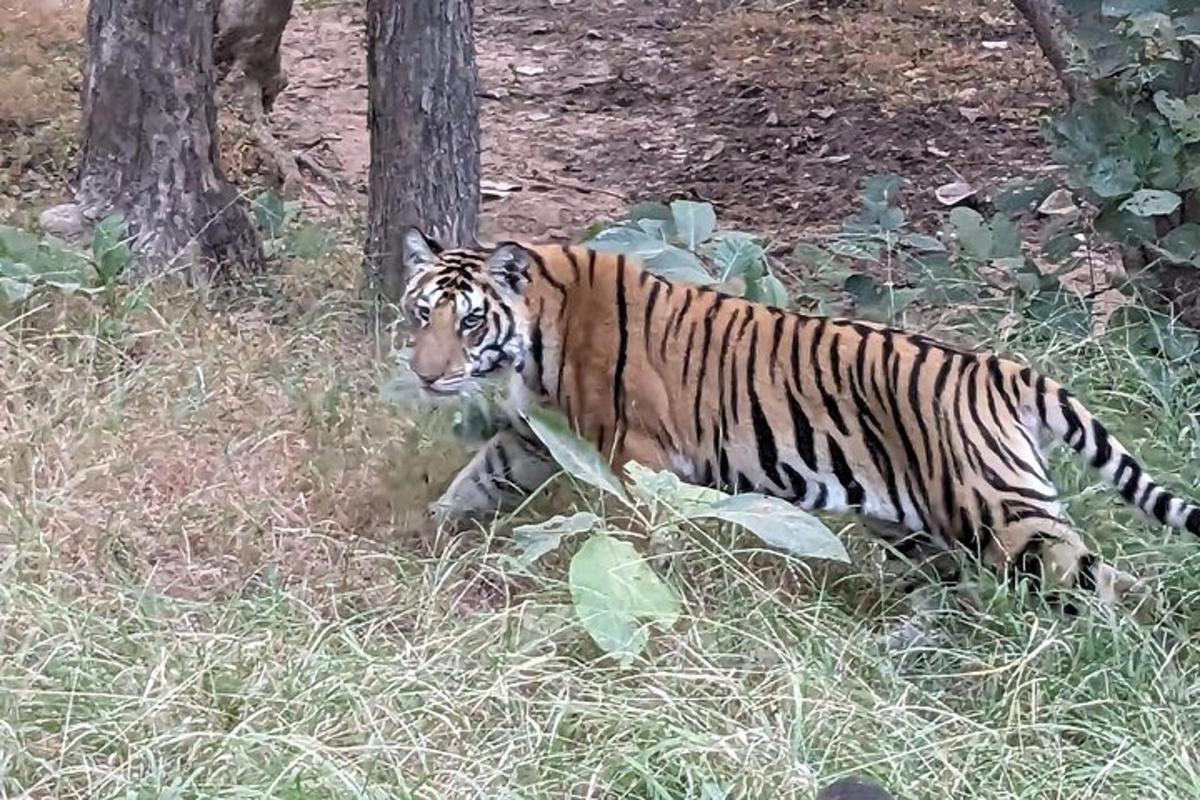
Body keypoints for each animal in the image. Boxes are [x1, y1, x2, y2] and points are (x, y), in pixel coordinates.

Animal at [400, 227, 1200, 618]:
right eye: (420, 314)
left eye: (469, 321)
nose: (426, 374)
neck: (532, 340)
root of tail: (1001, 370)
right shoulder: (538, 438)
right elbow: (479, 479)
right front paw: (427, 537)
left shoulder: (635, 454)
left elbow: (639, 531)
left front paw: (642, 585)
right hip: (914, 524)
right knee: (958, 585)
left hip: (1000, 514)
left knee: (1094, 576)